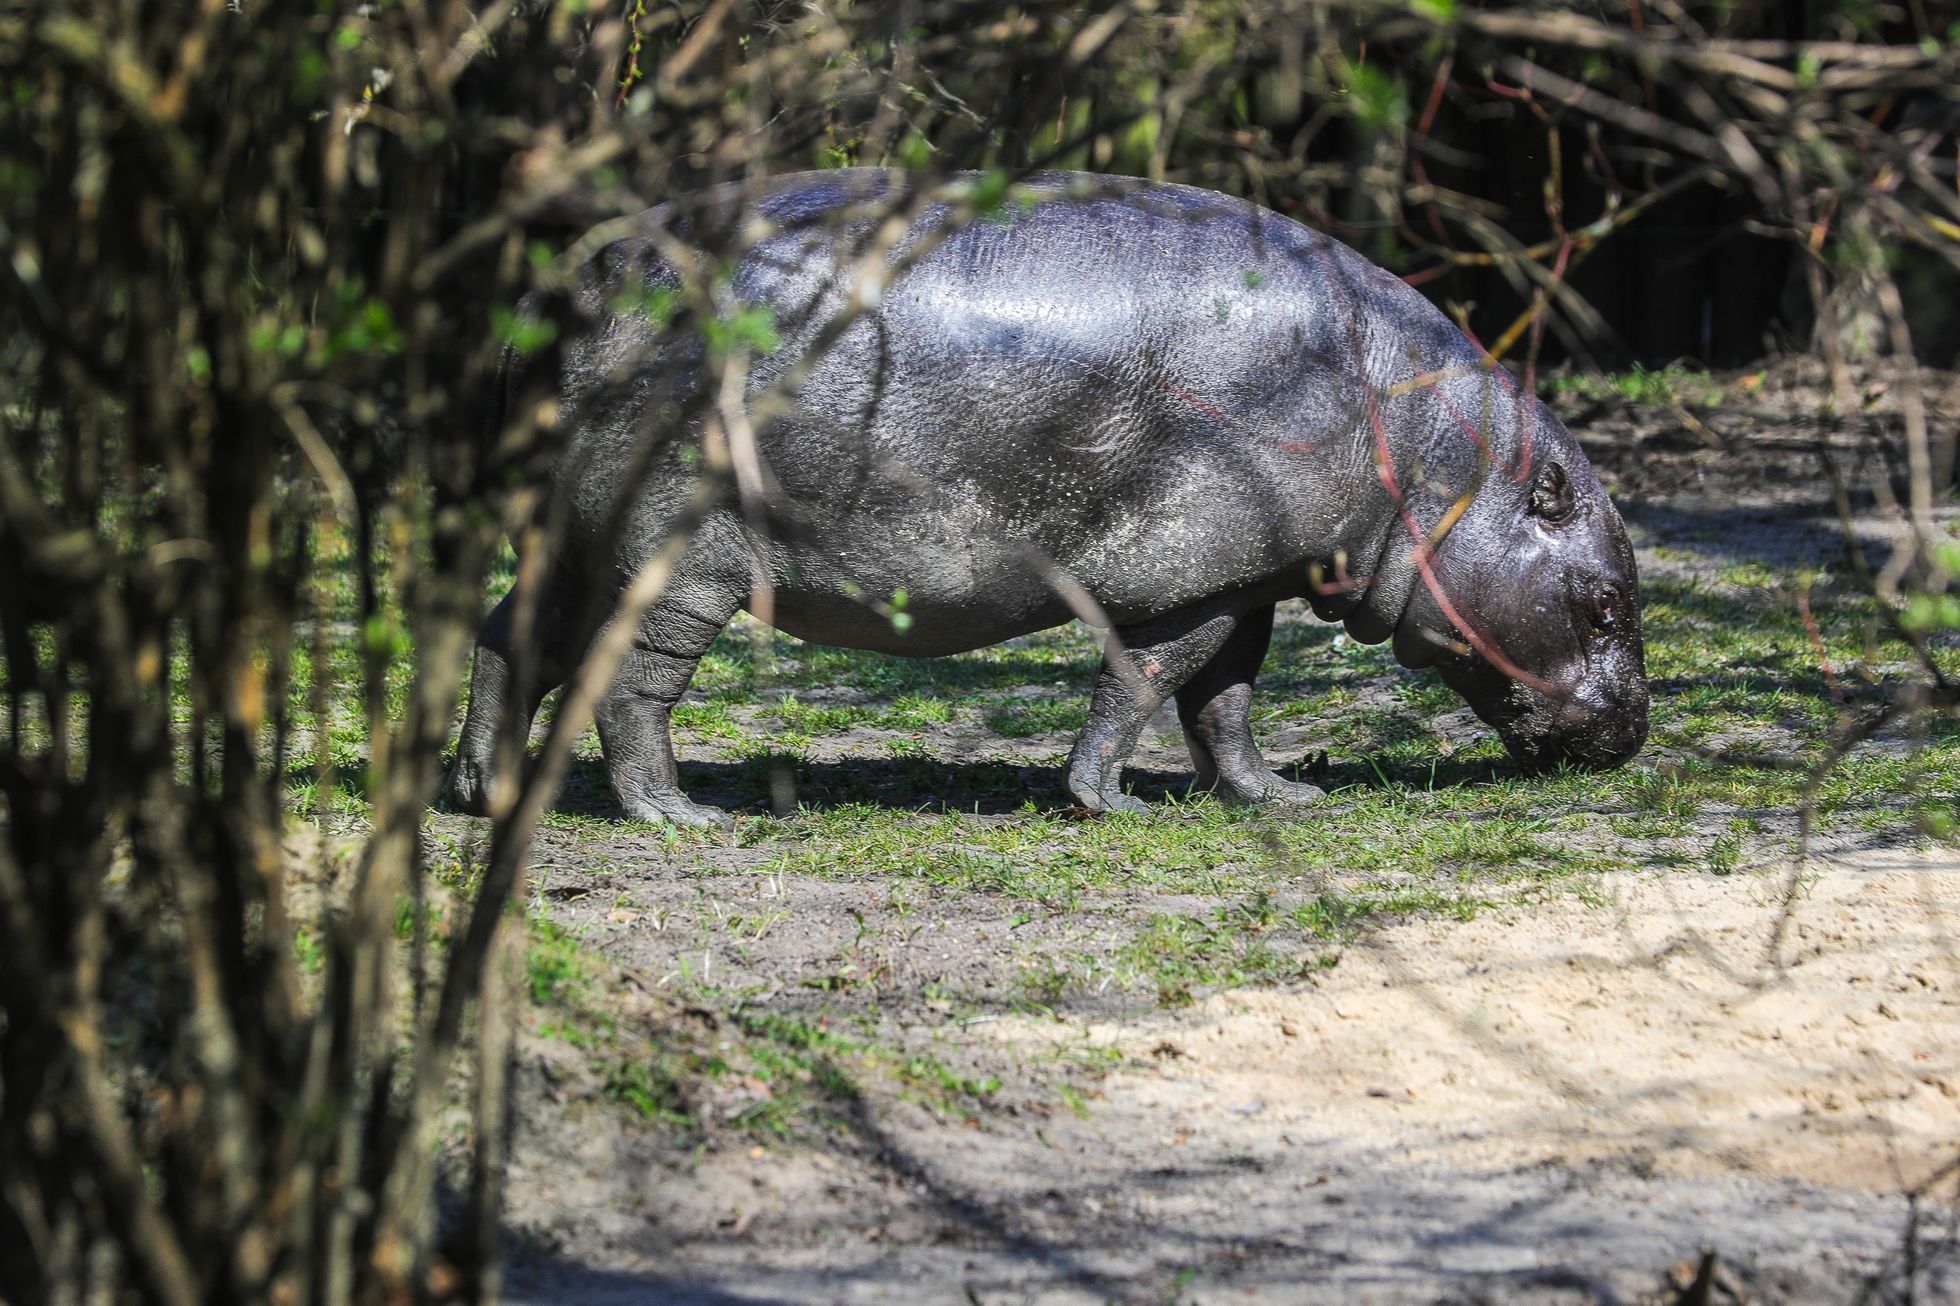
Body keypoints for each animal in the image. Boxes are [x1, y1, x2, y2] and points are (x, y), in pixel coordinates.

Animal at [444, 170, 1638, 823]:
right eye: (1604, 607)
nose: (1635, 734)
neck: (1437, 460)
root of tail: (556, 289)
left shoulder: (1250, 573)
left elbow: (1228, 701)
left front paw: (1278, 799)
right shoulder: (1190, 575)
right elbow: (1148, 679)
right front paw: (1104, 801)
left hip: (573, 531)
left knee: (511, 638)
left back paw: (481, 792)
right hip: (678, 552)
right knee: (630, 679)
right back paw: (680, 816)